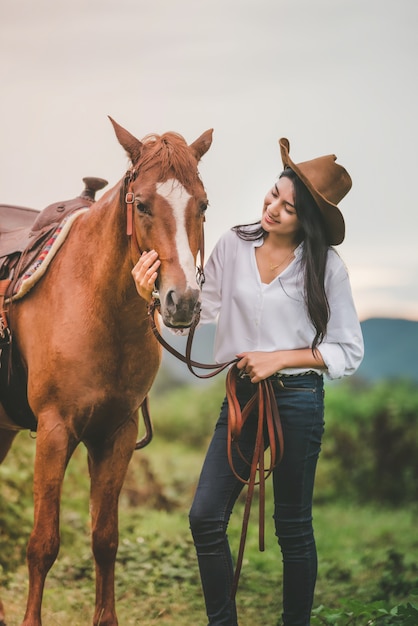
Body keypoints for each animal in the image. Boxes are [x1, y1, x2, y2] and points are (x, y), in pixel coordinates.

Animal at [0, 118, 214, 624]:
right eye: (142, 204)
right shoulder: (55, 430)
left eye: (202, 205)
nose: (182, 302)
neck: (97, 303)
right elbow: (43, 544)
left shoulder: (117, 433)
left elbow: (105, 540)